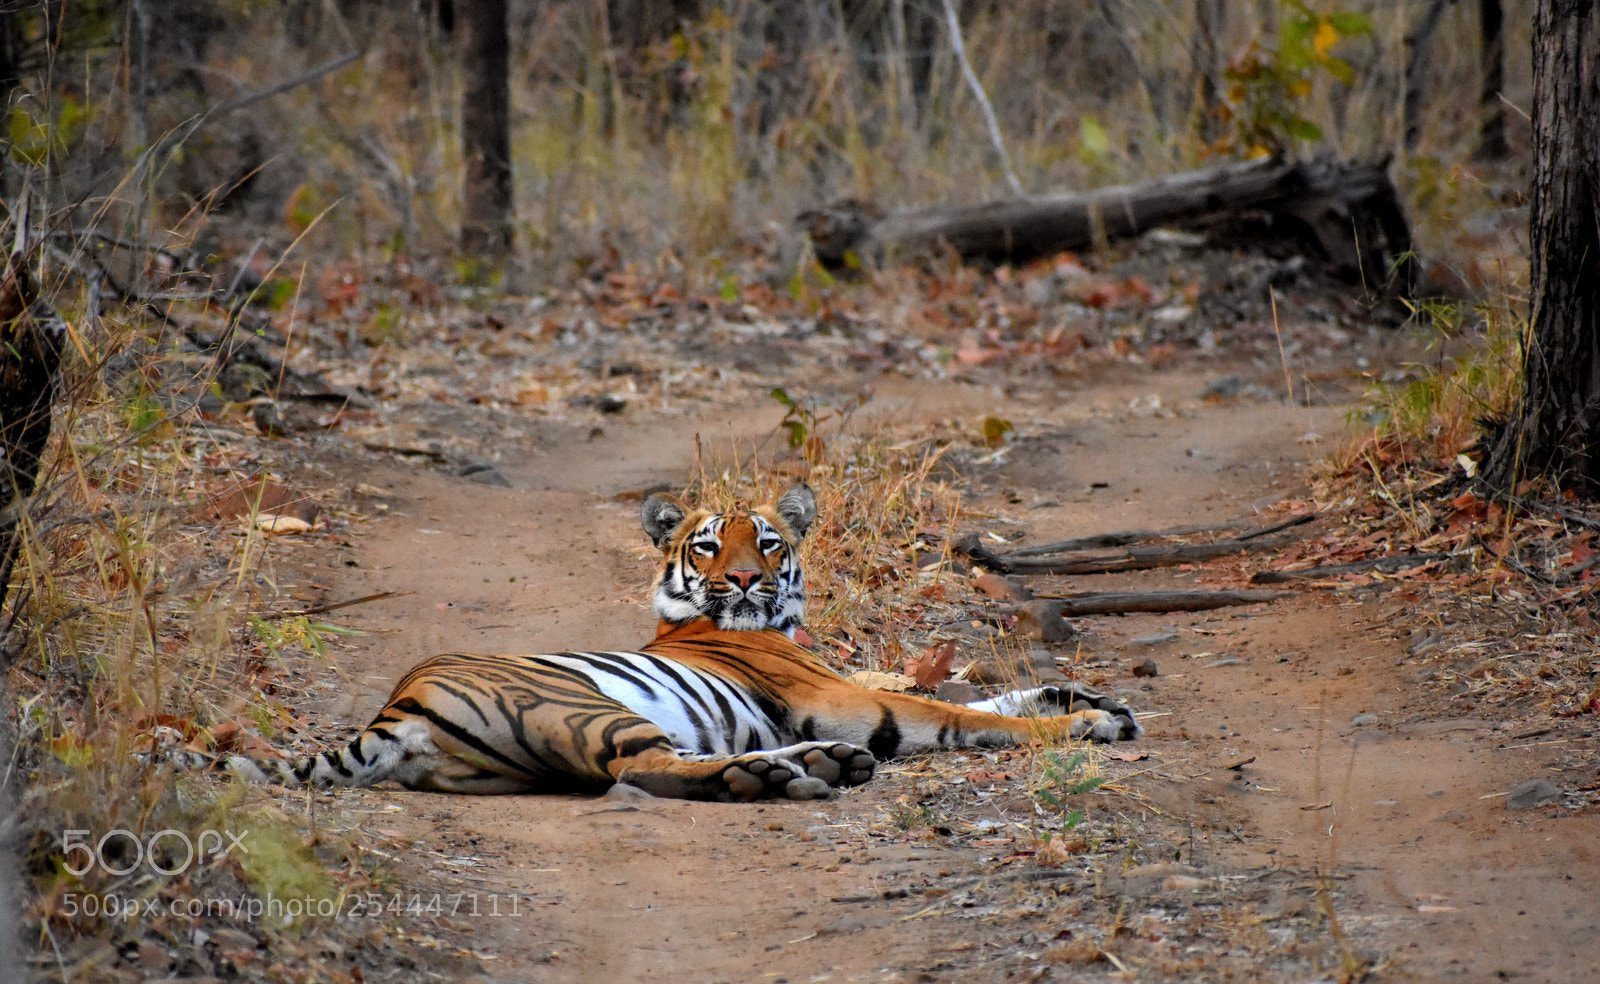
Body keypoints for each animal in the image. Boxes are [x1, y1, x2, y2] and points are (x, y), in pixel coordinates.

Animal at [199, 484, 1142, 802]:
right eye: (707, 545)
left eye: (769, 542)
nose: (745, 581)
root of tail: (395, 708)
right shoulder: (844, 697)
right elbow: (966, 716)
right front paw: (1078, 725)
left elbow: (974, 693)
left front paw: (1093, 700)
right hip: (585, 705)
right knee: (644, 769)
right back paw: (788, 776)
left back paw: (815, 767)